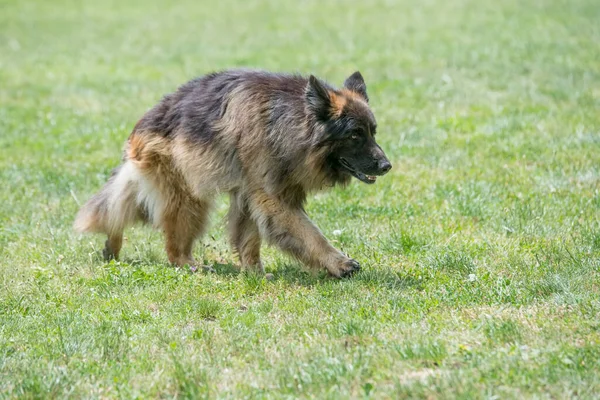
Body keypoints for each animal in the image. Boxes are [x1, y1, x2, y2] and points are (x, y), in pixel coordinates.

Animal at [72, 69, 392, 278]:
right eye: (355, 135)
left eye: (373, 132)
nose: (387, 166)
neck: (288, 120)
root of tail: (139, 130)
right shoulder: (273, 198)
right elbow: (309, 232)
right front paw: (338, 263)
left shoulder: (251, 192)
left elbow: (248, 236)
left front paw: (254, 272)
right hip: (188, 197)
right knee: (173, 246)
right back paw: (189, 265)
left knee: (118, 208)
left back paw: (111, 246)